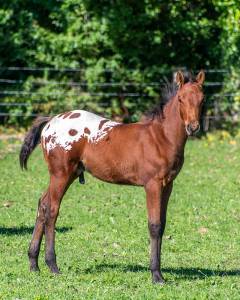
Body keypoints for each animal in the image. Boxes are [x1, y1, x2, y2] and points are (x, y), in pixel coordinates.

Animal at [19, 70, 205, 284]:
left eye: (202, 99)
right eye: (181, 99)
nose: (193, 127)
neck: (161, 137)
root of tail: (50, 121)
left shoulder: (168, 185)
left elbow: (163, 224)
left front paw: (159, 272)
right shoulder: (153, 185)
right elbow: (154, 225)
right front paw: (156, 275)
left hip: (69, 174)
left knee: (42, 204)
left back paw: (33, 264)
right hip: (61, 174)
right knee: (51, 211)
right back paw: (52, 265)